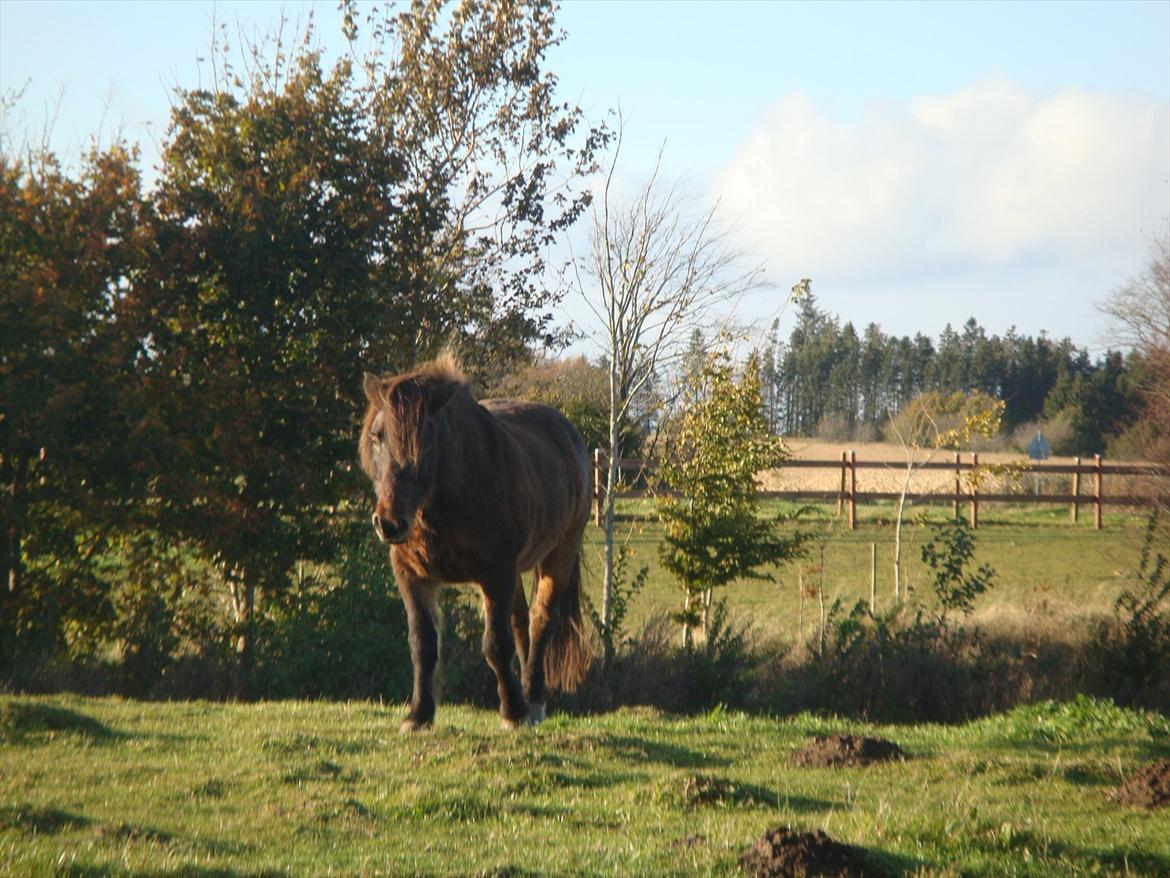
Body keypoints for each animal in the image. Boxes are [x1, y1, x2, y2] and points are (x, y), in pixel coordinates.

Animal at [355, 353, 594, 730]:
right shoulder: (410, 575)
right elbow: (423, 644)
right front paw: (419, 714)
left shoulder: (495, 573)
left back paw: (533, 701)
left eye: (427, 441)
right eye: (378, 437)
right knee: (521, 622)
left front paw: (512, 712)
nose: (390, 523)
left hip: (560, 554)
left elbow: (495, 645)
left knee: (541, 620)